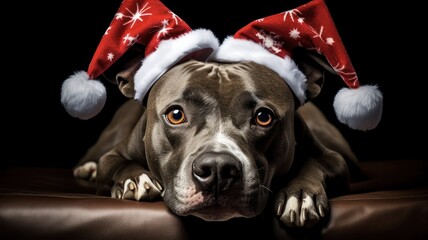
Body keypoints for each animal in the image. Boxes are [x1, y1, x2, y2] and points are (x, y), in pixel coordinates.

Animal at [72, 47, 358, 229]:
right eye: (176, 114)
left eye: (263, 117)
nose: (218, 169)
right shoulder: (115, 155)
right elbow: (115, 163)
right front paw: (136, 178)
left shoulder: (334, 159)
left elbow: (315, 163)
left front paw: (299, 195)